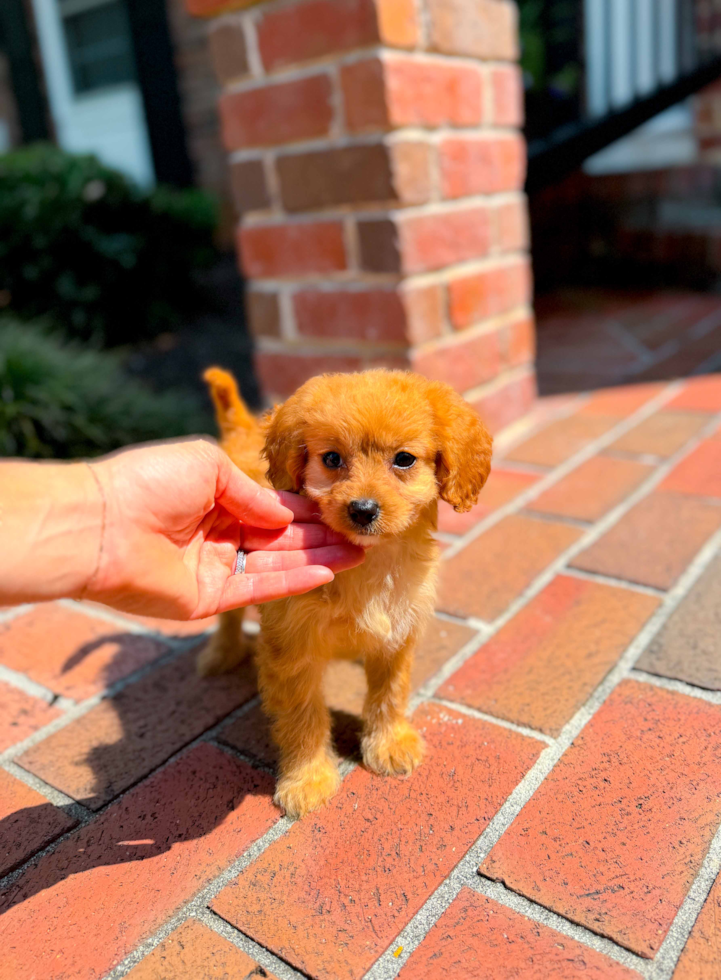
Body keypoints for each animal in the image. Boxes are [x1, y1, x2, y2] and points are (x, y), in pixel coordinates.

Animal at [200, 368, 492, 820]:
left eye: (404, 459)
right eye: (332, 459)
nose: (363, 509)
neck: (369, 565)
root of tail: (243, 429)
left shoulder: (397, 631)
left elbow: (390, 692)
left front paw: (389, 744)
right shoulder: (293, 650)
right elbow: (303, 717)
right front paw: (308, 780)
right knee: (229, 614)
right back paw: (221, 652)